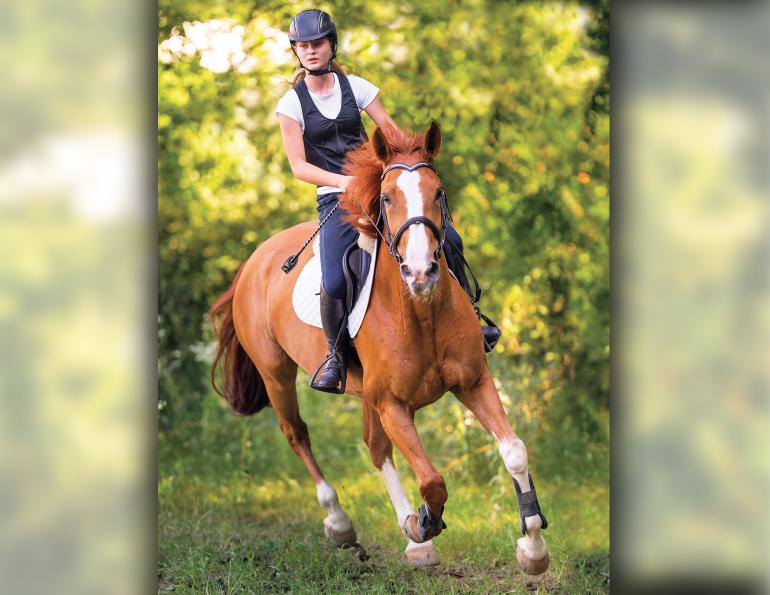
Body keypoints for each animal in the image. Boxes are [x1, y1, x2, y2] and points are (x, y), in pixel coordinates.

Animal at [209, 122, 550, 574]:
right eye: (386, 198)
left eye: (438, 192)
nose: (421, 272)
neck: (421, 311)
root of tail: (254, 260)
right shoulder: (393, 403)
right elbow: (432, 481)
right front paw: (423, 523)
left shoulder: (472, 382)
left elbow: (513, 452)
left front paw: (533, 548)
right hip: (276, 373)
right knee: (297, 433)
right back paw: (340, 522)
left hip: (365, 393)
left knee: (375, 447)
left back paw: (409, 540)